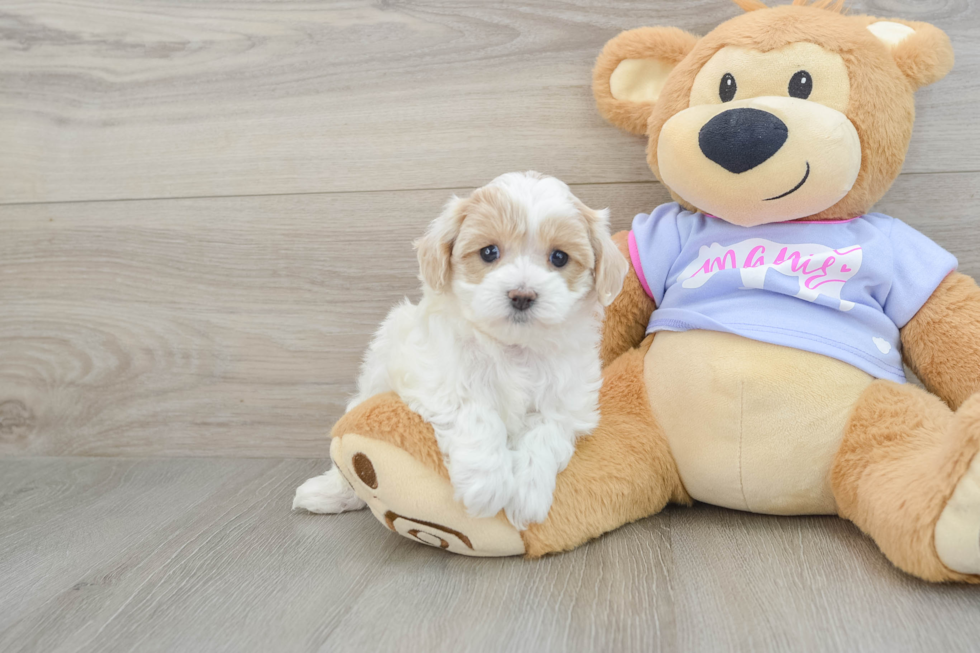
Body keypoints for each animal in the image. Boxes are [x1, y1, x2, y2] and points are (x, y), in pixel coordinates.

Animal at [292, 171, 628, 528]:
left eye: (559, 257)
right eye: (489, 252)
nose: (521, 295)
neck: (513, 347)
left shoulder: (569, 403)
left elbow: (545, 432)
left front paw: (528, 492)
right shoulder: (437, 376)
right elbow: (475, 412)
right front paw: (487, 483)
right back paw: (328, 493)